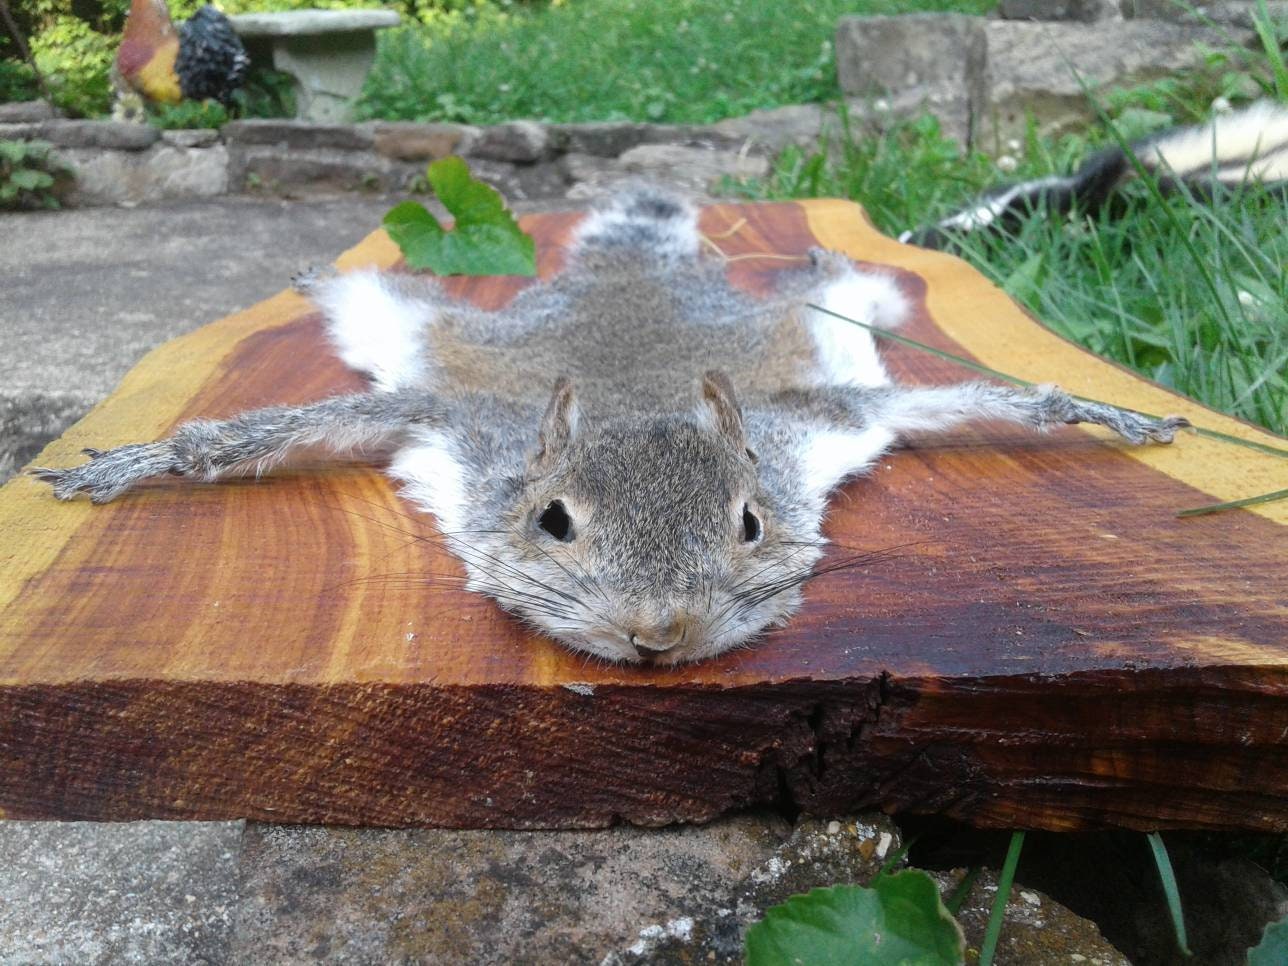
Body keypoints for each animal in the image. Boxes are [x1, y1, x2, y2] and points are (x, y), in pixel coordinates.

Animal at [33, 186, 1189, 665]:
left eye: (752, 522)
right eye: (549, 520)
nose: (657, 631)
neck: (638, 406)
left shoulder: (828, 414)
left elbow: (1009, 401)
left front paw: (1107, 410)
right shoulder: (447, 418)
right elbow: (237, 438)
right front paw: (141, 460)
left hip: (831, 318)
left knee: (838, 278)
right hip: (416, 330)